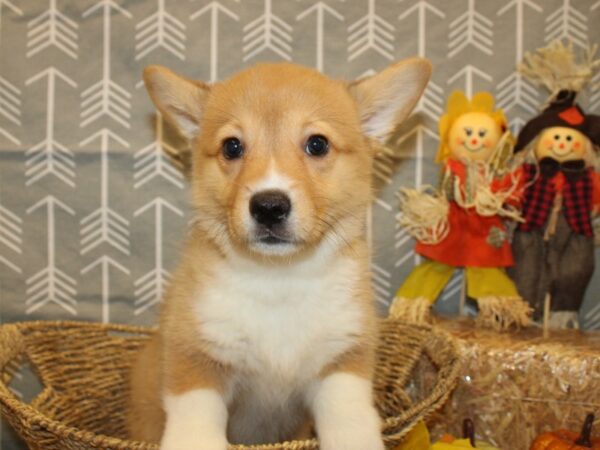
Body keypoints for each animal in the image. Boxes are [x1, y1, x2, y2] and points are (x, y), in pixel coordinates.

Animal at [130, 59, 432, 450]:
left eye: (317, 144)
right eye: (232, 147)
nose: (269, 206)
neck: (279, 279)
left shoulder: (342, 363)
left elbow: (351, 425)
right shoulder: (196, 360)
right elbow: (195, 431)